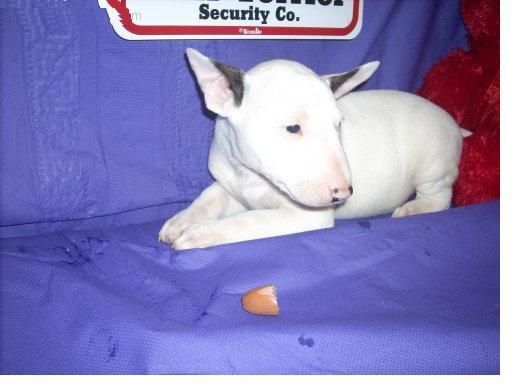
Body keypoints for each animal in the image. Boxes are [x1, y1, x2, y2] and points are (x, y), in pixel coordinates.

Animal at [158, 48, 466, 249]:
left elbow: (250, 220)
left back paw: (414, 208)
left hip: (432, 165)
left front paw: (200, 234)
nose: (344, 194)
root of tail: (454, 124)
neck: (251, 176)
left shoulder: (303, 216)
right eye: (293, 128)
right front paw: (181, 222)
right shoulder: (231, 184)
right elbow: (209, 198)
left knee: (441, 196)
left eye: (339, 125)